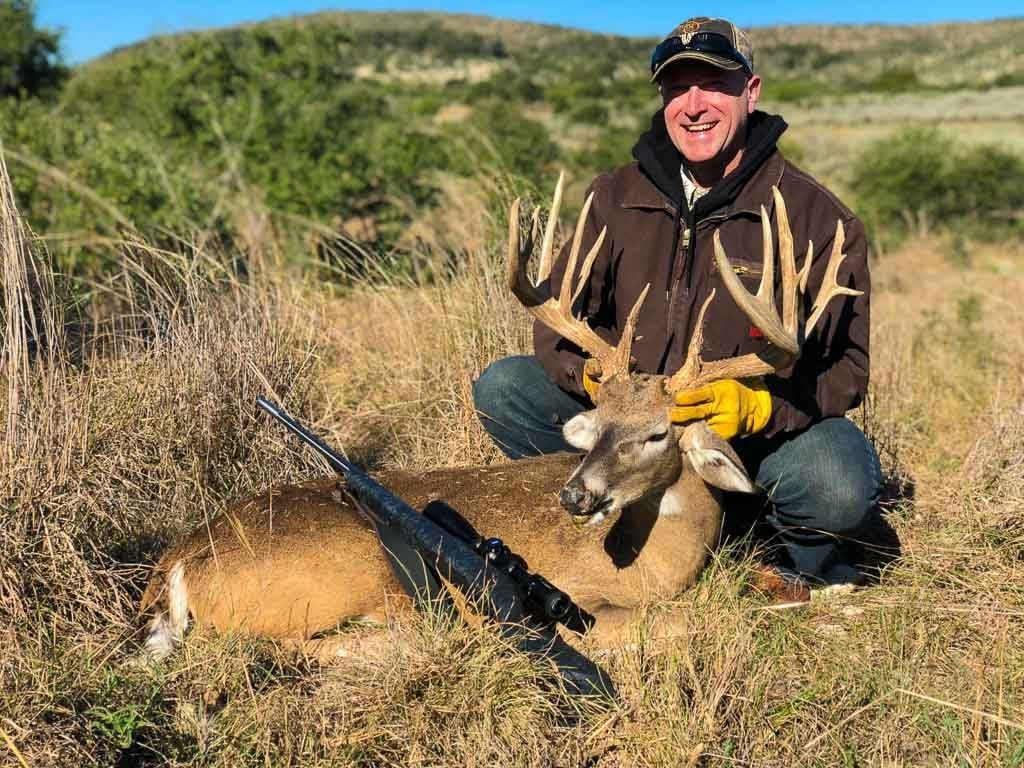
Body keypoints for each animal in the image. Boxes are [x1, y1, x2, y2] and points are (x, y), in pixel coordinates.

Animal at [140, 176, 860, 663]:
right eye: (599, 419)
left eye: (657, 432)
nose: (576, 496)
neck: (658, 555)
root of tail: (178, 562)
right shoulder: (585, 604)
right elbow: (704, 622)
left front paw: (834, 598)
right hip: (343, 575)